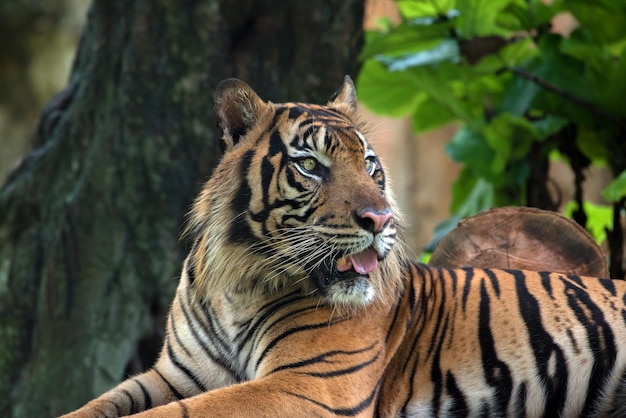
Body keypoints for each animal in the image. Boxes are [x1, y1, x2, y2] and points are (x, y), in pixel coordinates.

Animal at [61, 76, 624, 418]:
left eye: (370, 165)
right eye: (311, 165)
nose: (381, 219)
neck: (239, 281)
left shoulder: (308, 383)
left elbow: (170, 415)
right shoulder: (175, 374)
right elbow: (99, 405)